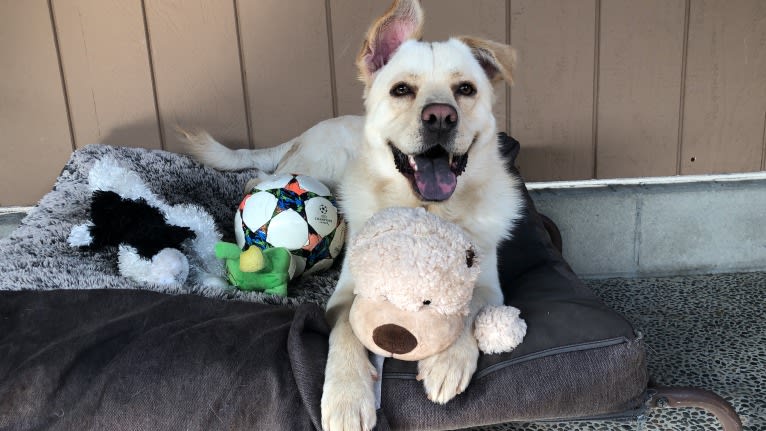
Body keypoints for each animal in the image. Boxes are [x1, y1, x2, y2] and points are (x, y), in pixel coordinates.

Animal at [183, 1, 524, 430]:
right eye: (401, 90)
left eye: (465, 89)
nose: (441, 117)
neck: (424, 211)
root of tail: (311, 129)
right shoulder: (345, 295)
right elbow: (346, 329)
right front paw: (346, 395)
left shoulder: (490, 286)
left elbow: (471, 308)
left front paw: (448, 360)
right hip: (316, 168)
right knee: (261, 178)